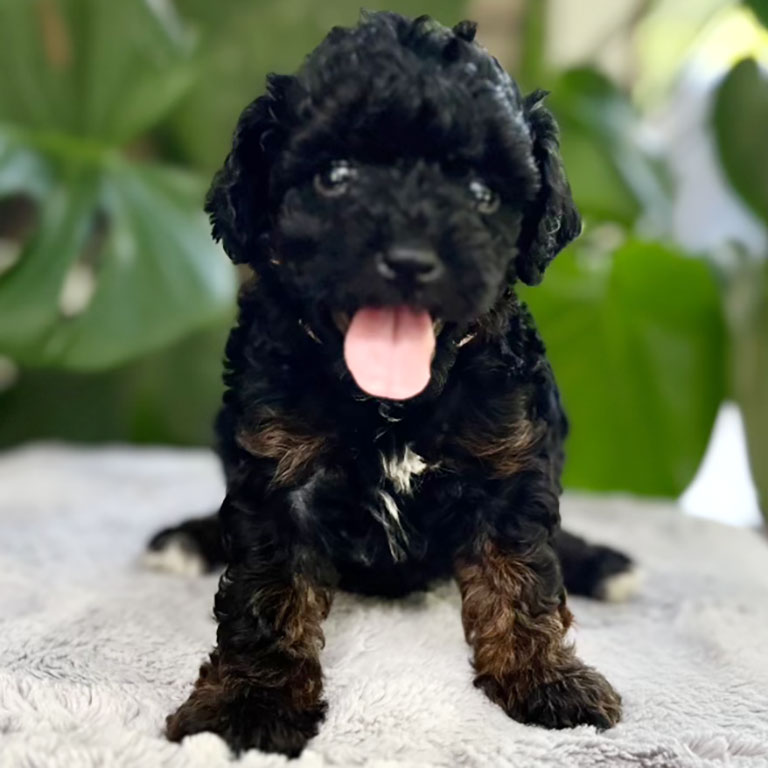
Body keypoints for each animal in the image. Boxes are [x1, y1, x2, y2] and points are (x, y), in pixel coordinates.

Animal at [148, 12, 636, 756]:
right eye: (335, 177)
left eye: (482, 193)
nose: (409, 260)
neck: (391, 405)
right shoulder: (276, 468)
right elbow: (266, 590)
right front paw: (251, 702)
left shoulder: (511, 458)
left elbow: (522, 569)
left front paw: (543, 677)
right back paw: (187, 540)